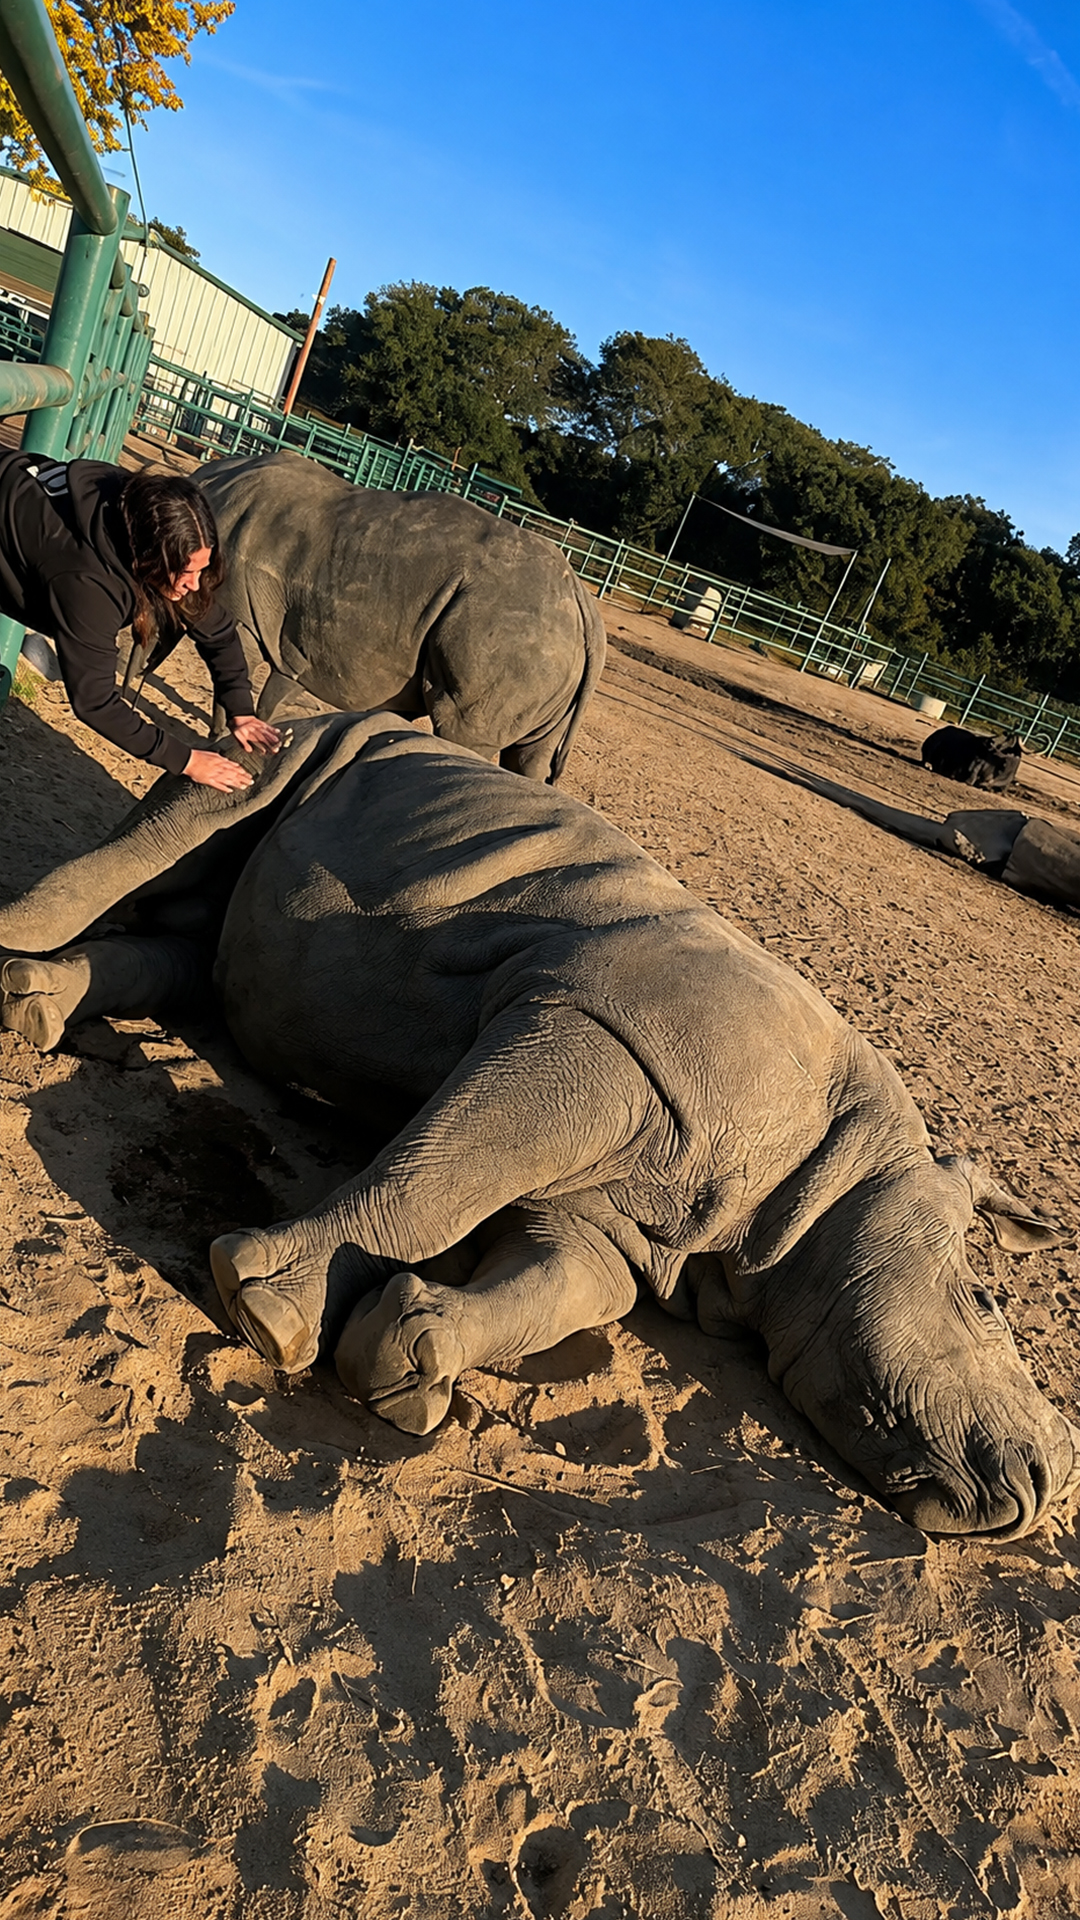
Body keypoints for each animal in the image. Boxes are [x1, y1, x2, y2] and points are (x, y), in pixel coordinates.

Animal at [1, 713, 1075, 1539]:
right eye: (985, 1304)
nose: (1038, 1488)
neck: (835, 1180)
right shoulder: (601, 1032)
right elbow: (435, 1181)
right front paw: (269, 1317)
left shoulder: (630, 1210)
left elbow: (570, 1283)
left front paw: (410, 1365)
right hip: (295, 742)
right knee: (188, 822)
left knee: (210, 949)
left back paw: (37, 1010)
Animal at [184, 450, 606, 782]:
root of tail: (583, 603)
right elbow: (269, 687)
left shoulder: (243, 609)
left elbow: (237, 677)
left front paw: (219, 742)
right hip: (544, 643)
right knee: (531, 755)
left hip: (512, 635)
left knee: (464, 732)